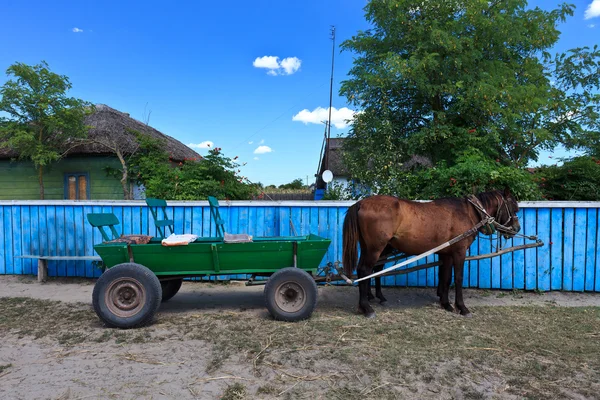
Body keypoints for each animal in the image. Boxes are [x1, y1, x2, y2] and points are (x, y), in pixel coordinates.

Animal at [342, 188, 520, 318]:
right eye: (513, 207)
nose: (516, 228)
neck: (468, 212)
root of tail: (361, 203)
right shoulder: (459, 252)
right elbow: (458, 278)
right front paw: (462, 307)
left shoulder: (446, 253)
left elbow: (446, 278)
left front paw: (446, 303)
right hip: (375, 248)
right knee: (365, 270)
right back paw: (366, 307)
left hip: (372, 247)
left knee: (372, 270)